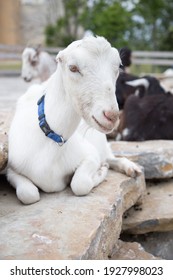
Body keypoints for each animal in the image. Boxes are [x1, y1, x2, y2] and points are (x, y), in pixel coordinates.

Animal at [7, 36, 142, 205]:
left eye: (118, 66)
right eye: (72, 67)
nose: (111, 116)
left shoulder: (90, 154)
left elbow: (80, 184)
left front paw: (100, 172)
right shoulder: (11, 169)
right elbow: (28, 194)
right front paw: (101, 170)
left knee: (111, 157)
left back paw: (131, 168)